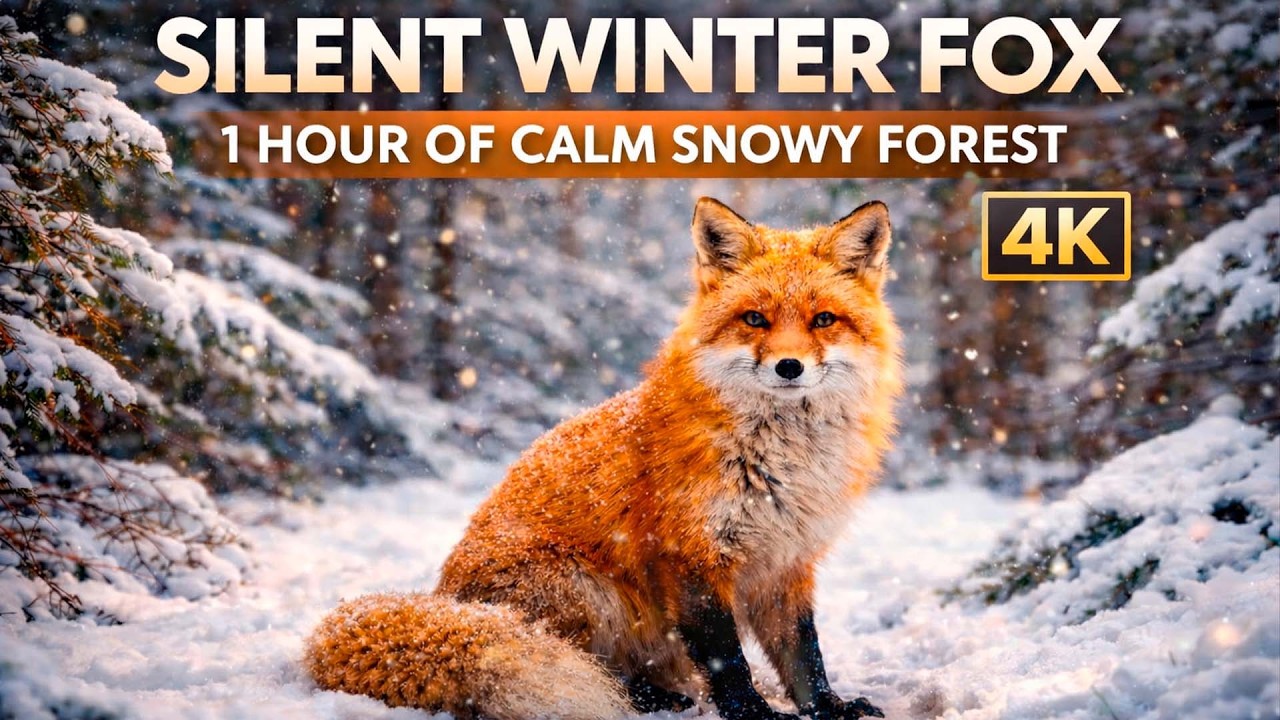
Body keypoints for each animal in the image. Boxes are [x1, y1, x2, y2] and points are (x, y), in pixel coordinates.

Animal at [305, 197, 903, 720]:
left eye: (823, 319)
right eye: (754, 319)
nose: (789, 367)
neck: (783, 459)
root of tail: (449, 599)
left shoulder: (787, 561)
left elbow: (804, 655)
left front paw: (827, 707)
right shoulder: (691, 555)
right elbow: (726, 661)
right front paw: (752, 714)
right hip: (587, 590)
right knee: (590, 664)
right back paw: (649, 698)